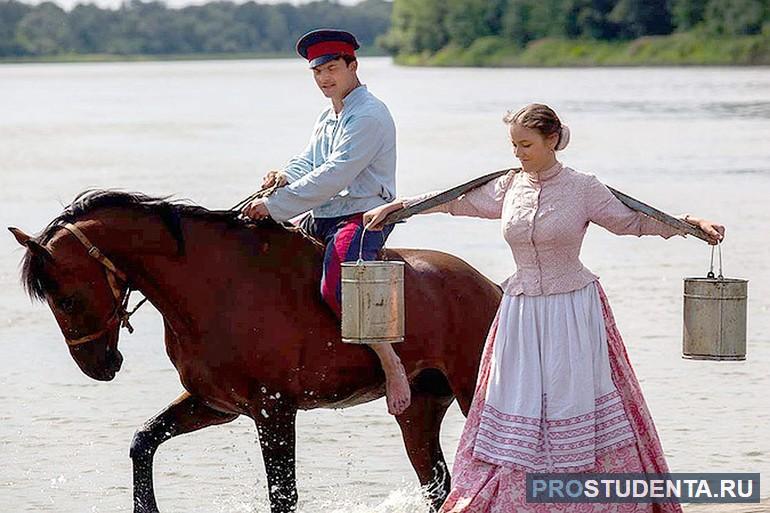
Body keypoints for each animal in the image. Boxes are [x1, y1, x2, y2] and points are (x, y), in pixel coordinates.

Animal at [9, 191, 500, 512]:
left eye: (67, 299)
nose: (99, 366)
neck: (216, 286)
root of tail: (490, 286)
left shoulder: (274, 409)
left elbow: (283, 496)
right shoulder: (216, 404)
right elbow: (142, 442)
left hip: (469, 395)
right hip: (418, 411)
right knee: (437, 485)